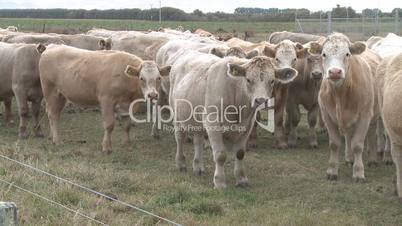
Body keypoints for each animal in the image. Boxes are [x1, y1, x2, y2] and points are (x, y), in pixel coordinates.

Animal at [40, 44, 171, 153]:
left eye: (159, 78)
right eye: (141, 78)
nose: (152, 95)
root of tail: (52, 46)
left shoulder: (127, 105)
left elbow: (127, 125)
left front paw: (127, 144)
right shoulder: (107, 100)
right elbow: (109, 125)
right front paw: (106, 147)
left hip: (61, 95)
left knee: (55, 115)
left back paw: (52, 136)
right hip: (50, 91)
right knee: (52, 114)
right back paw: (57, 140)